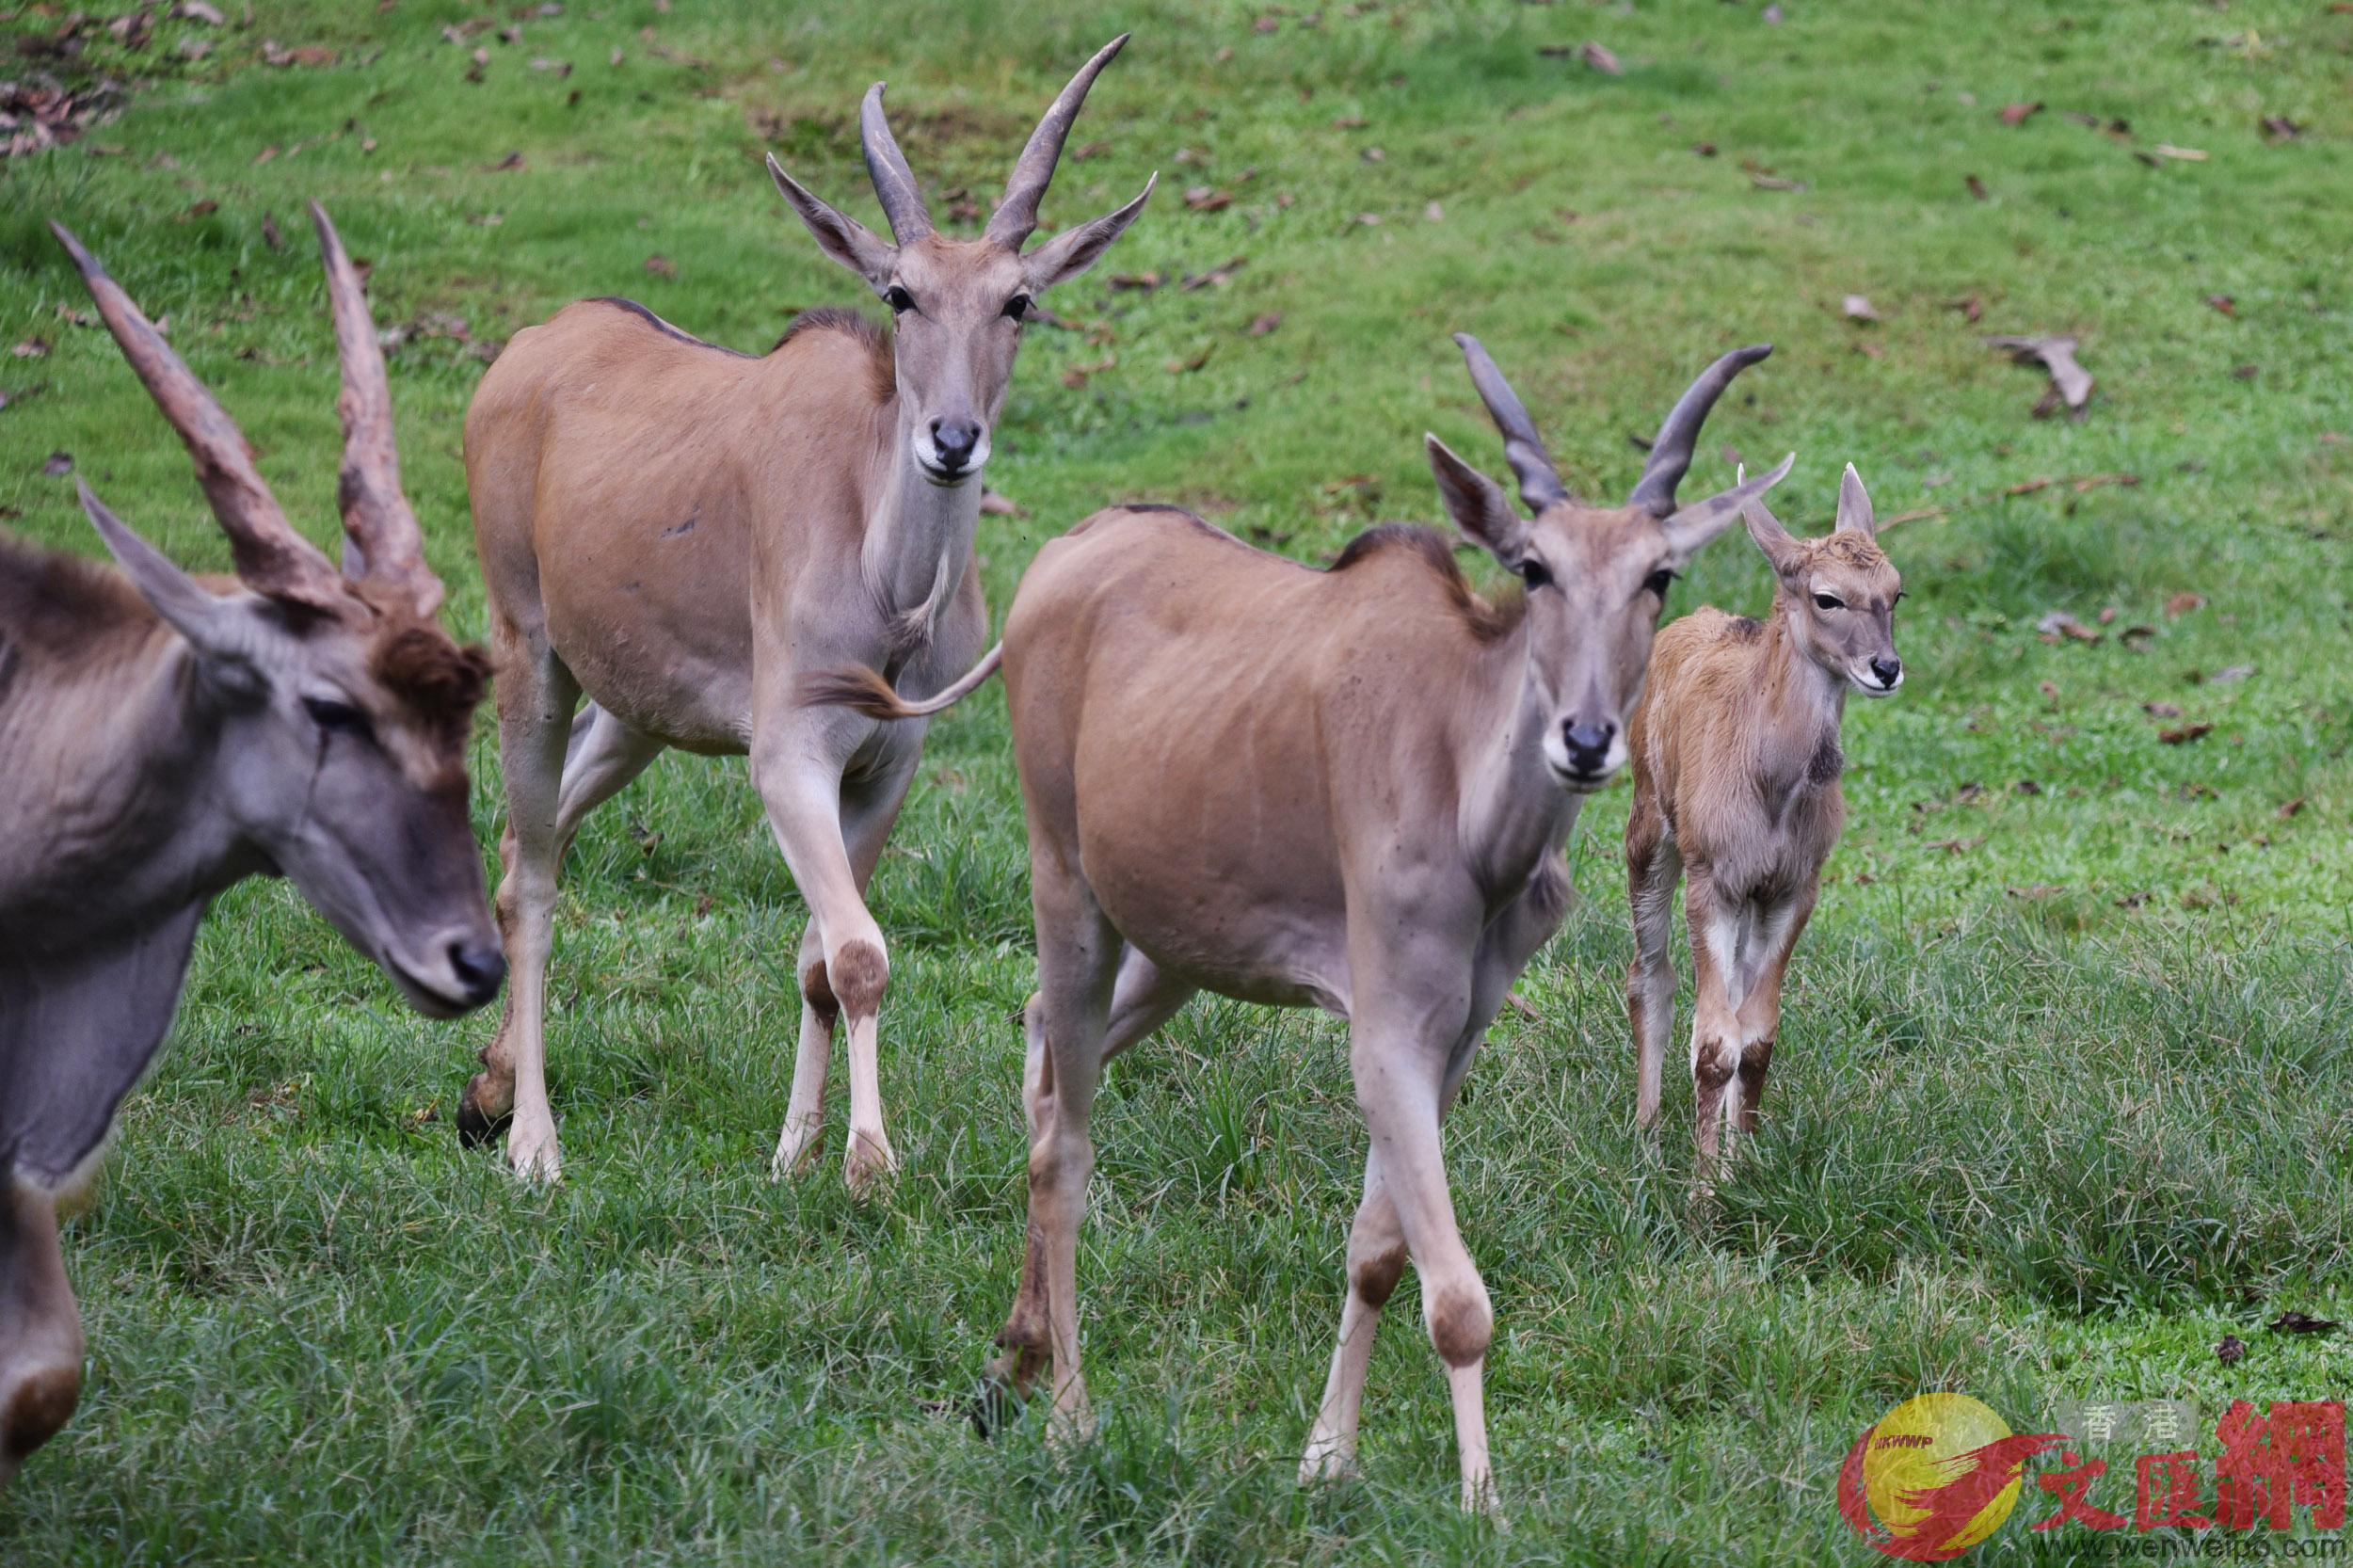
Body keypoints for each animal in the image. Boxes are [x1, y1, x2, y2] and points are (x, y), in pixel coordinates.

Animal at [454, 33, 1153, 1186]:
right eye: (901, 294)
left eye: (1018, 302)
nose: (952, 438)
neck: (889, 595)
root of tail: (525, 350)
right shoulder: (790, 758)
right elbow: (861, 951)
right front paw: (868, 1161)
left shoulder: (886, 767)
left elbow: (822, 959)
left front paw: (796, 1150)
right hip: (530, 656)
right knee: (536, 884)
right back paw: (533, 1139)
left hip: (634, 716)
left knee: (523, 842)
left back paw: (487, 1089)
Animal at [809, 336, 1779, 1506]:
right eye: (1532, 567)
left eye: (1658, 576)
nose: (1588, 738)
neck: (1471, 796)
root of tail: (1062, 556)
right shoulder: (1387, 1030)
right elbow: (1456, 1295)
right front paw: (1481, 1503)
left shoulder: (1452, 1032)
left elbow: (1378, 1248)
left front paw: (1327, 1458)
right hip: (1067, 887)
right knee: (1061, 1151)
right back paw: (1070, 1419)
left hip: (1171, 946)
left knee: (1040, 1044)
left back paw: (1013, 1358)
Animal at [1628, 463, 1901, 1172]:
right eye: (1827, 598)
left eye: (1896, 592)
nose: (1886, 668)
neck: (1770, 791)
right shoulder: (1712, 877)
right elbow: (1713, 1044)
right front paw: (1702, 1188)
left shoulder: (1793, 885)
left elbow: (1757, 1038)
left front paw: (1741, 1167)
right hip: (1648, 827)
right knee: (1650, 976)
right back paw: (1645, 1131)